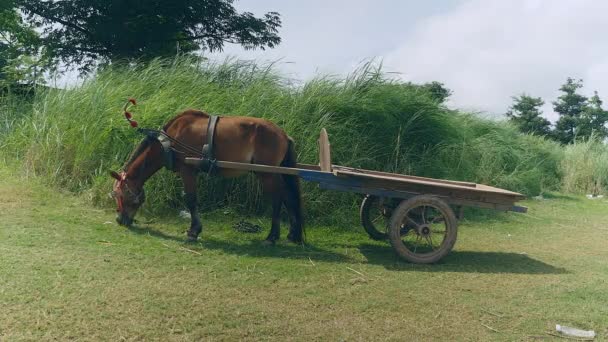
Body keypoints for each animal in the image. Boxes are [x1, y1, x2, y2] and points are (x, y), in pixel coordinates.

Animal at [109, 109, 304, 243]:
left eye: (119, 195)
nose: (120, 220)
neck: (169, 141)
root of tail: (284, 135)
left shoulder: (187, 170)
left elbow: (191, 199)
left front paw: (193, 231)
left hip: (266, 173)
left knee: (278, 198)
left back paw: (272, 236)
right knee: (288, 196)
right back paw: (292, 234)